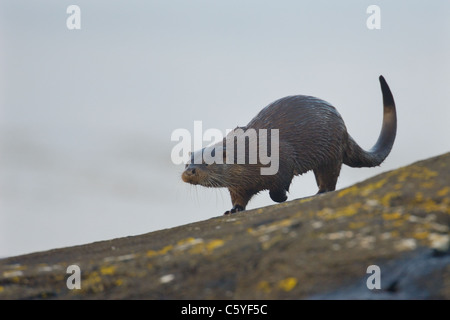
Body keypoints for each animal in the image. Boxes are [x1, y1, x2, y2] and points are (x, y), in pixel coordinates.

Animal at [183, 75, 398, 215]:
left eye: (207, 162)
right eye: (187, 163)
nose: (189, 172)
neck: (251, 155)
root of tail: (344, 128)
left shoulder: (282, 158)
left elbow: (280, 184)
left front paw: (282, 198)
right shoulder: (238, 186)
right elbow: (239, 198)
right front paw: (233, 210)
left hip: (331, 150)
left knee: (329, 177)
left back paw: (321, 192)